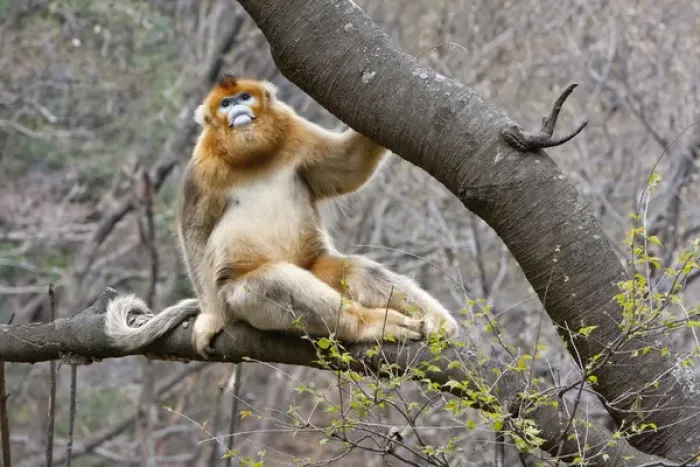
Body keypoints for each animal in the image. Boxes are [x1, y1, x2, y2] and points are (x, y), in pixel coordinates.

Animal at [104, 75, 459, 358]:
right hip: (237, 299)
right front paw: (212, 319)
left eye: (244, 97)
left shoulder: (294, 130)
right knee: (273, 281)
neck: (252, 156)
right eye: (225, 104)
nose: (237, 109)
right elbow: (194, 232)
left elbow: (349, 165)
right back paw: (370, 324)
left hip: (314, 264)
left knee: (358, 272)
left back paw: (437, 322)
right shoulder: (200, 167)